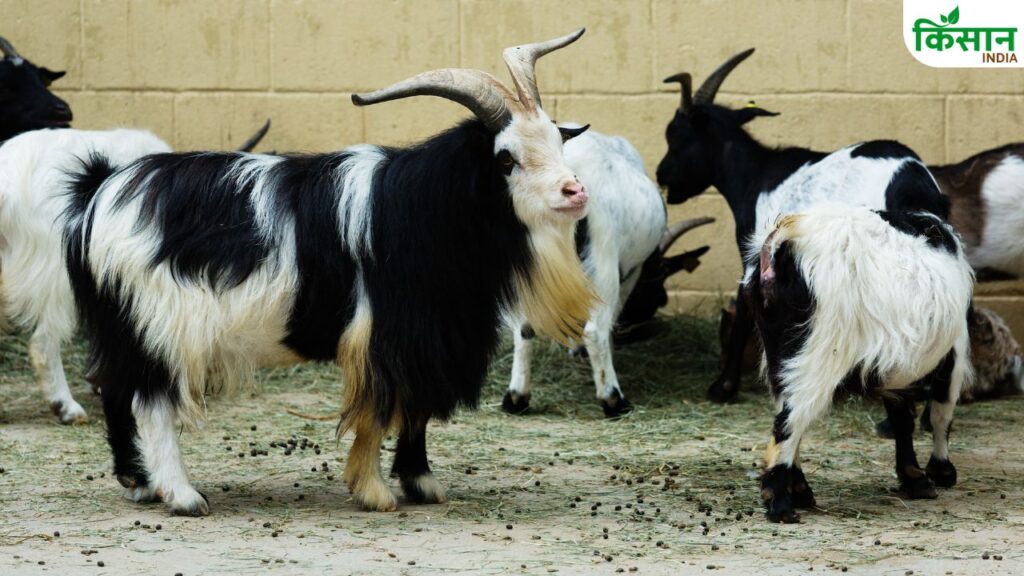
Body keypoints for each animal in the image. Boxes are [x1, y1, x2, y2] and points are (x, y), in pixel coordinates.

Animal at [64, 30, 593, 516]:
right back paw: (183, 495)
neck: (420, 208)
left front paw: (420, 483)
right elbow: (382, 411)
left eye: (557, 140)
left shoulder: (428, 336)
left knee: (115, 392)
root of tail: (99, 193)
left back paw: (139, 482)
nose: (575, 191)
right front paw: (375, 491)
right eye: (505, 158)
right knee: (150, 403)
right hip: (159, 328)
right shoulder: (386, 335)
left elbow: (416, 409)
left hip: (123, 330)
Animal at [502, 126, 713, 417]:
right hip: (604, 258)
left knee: (524, 327)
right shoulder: (629, 274)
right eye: (657, 278)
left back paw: (516, 398)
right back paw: (613, 399)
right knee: (595, 330)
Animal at [657, 48, 951, 404]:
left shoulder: (753, 253)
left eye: (676, 135)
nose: (661, 175)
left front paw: (723, 387)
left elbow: (744, 310)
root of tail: (912, 180)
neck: (754, 176)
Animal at [748, 204, 973, 523]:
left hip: (781, 355)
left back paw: (800, 491)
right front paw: (940, 472)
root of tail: (785, 237)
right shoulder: (953, 354)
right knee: (789, 422)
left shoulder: (897, 366)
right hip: (819, 352)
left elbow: (902, 418)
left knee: (788, 413)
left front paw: (915, 478)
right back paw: (781, 505)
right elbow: (941, 414)